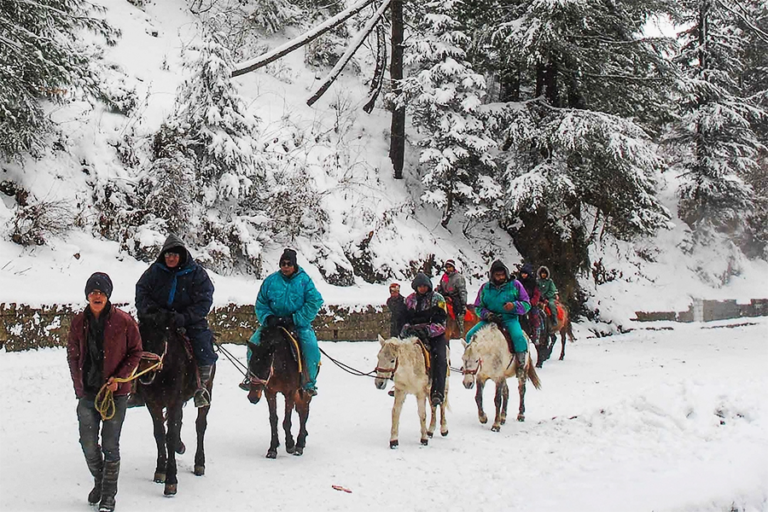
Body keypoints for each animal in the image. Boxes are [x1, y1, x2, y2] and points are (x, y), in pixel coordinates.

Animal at [134, 312, 213, 496]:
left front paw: (171, 481)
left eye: (162, 338)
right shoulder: (153, 403)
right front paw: (160, 470)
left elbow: (169, 436)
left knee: (200, 425)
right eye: (140, 336)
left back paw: (199, 463)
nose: (145, 374)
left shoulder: (174, 401)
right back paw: (180, 445)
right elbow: (160, 434)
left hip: (207, 391)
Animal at [248, 326, 310, 458]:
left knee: (304, 412)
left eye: (266, 368)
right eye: (250, 365)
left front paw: (290, 444)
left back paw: (300, 444)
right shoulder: (270, 393)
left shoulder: (290, 393)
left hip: (304, 392)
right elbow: (273, 419)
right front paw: (272, 448)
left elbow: (286, 421)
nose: (253, 397)